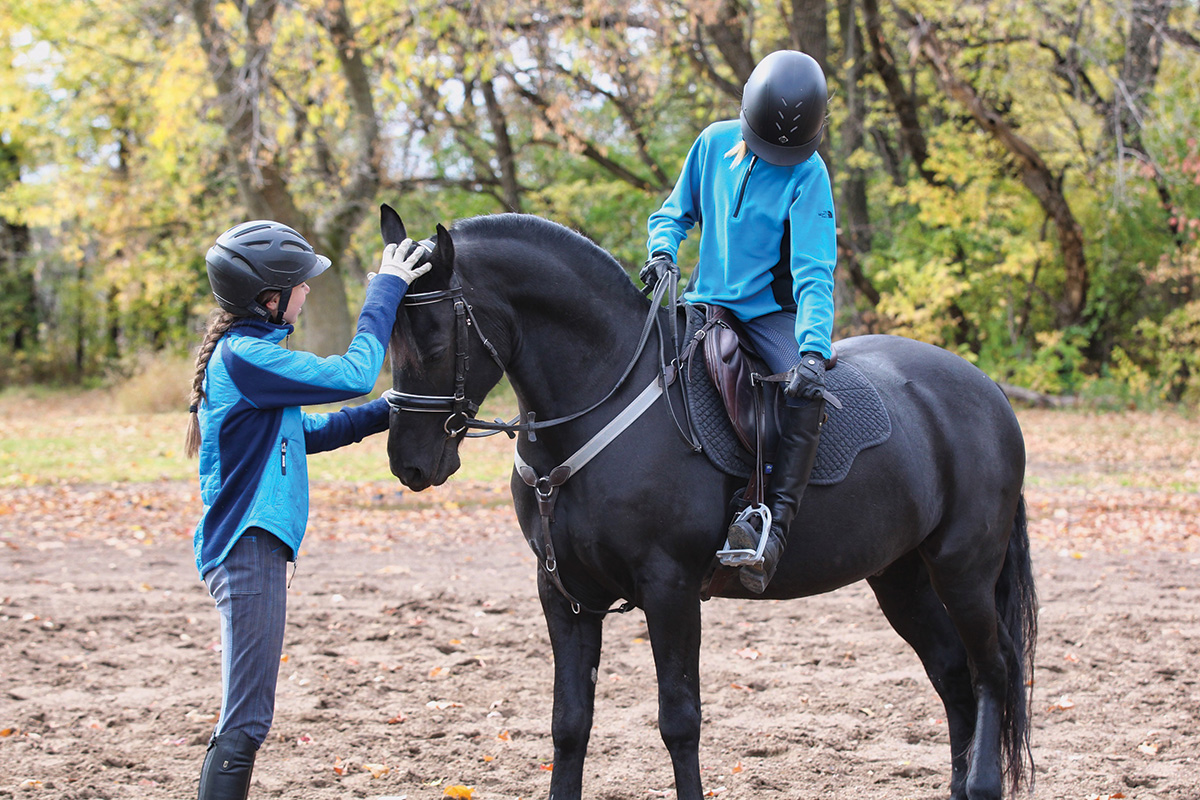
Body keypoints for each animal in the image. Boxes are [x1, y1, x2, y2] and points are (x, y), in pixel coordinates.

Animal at [379, 206, 1036, 800]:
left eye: (434, 338)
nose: (409, 463)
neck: (600, 396)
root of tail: (987, 390)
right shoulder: (563, 594)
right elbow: (569, 724)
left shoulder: (669, 589)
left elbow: (679, 721)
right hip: (900, 576)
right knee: (952, 671)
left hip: (963, 569)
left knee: (993, 668)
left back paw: (982, 785)